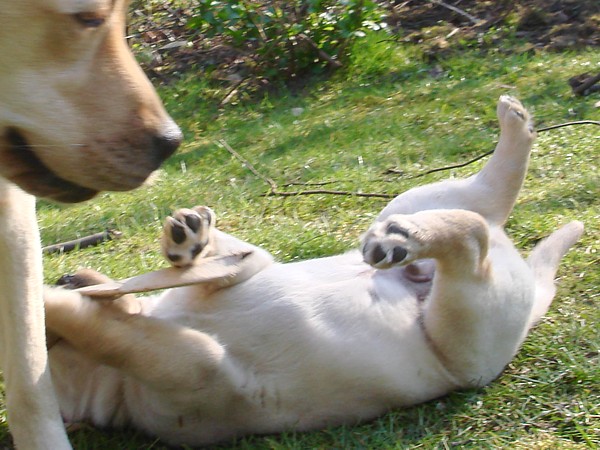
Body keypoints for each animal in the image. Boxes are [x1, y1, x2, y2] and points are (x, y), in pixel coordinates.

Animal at [44, 96, 584, 446]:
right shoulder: (189, 362)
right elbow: (97, 324)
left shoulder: (238, 280)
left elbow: (224, 262)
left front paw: (189, 239)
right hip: (465, 321)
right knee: (474, 231)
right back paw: (405, 238)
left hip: (421, 210)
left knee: (480, 209)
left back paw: (510, 126)